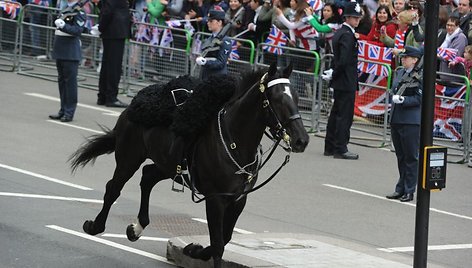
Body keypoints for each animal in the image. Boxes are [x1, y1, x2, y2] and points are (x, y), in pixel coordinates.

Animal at [67, 62, 310, 266]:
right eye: (277, 99)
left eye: (297, 97)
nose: (302, 140)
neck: (234, 141)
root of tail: (131, 106)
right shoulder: (215, 199)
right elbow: (219, 244)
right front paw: (199, 250)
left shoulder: (238, 200)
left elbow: (225, 238)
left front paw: (194, 249)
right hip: (129, 157)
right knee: (114, 188)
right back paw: (96, 225)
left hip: (167, 164)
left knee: (147, 177)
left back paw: (137, 227)